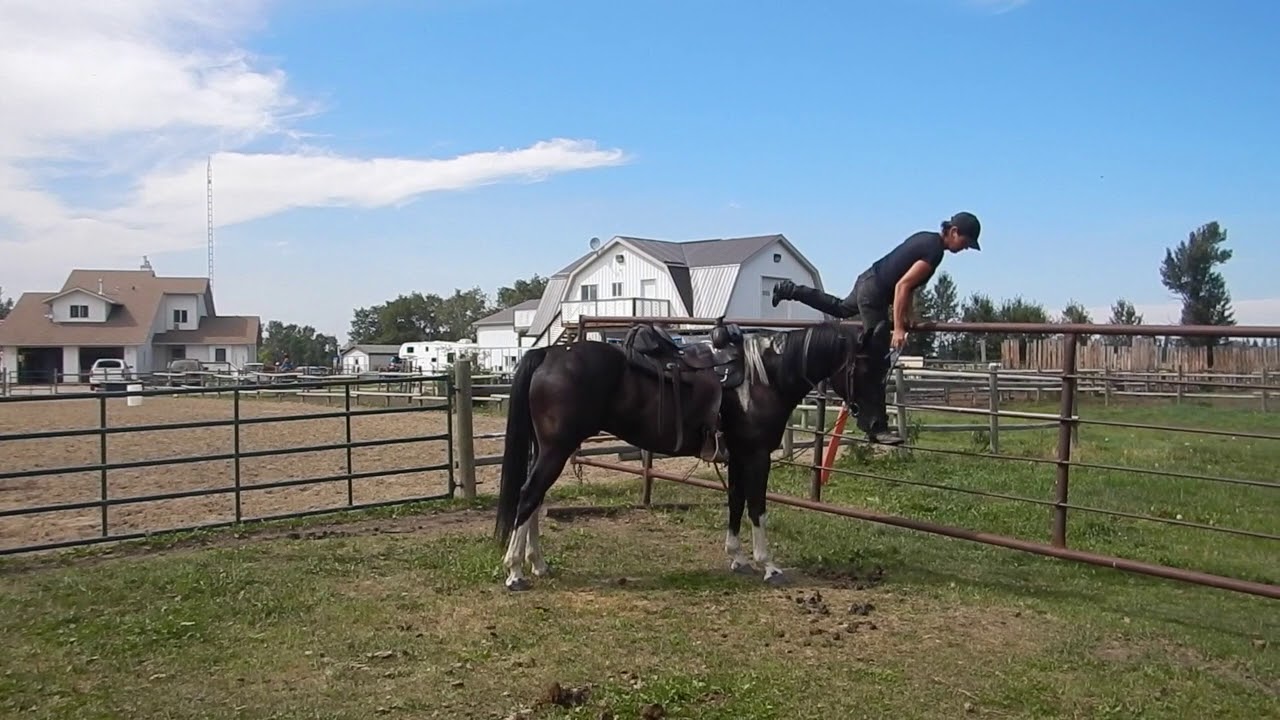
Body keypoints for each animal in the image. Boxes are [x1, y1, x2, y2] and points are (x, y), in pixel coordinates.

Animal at [493, 318, 890, 591]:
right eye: (866, 367)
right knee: (528, 496)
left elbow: (735, 503)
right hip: (556, 450)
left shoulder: (739, 456)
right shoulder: (756, 455)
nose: (878, 424)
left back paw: (538, 564)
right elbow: (757, 507)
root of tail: (549, 354)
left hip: (548, 449)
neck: (763, 377)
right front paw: (769, 566)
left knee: (535, 500)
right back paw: (515, 571)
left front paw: (738, 558)